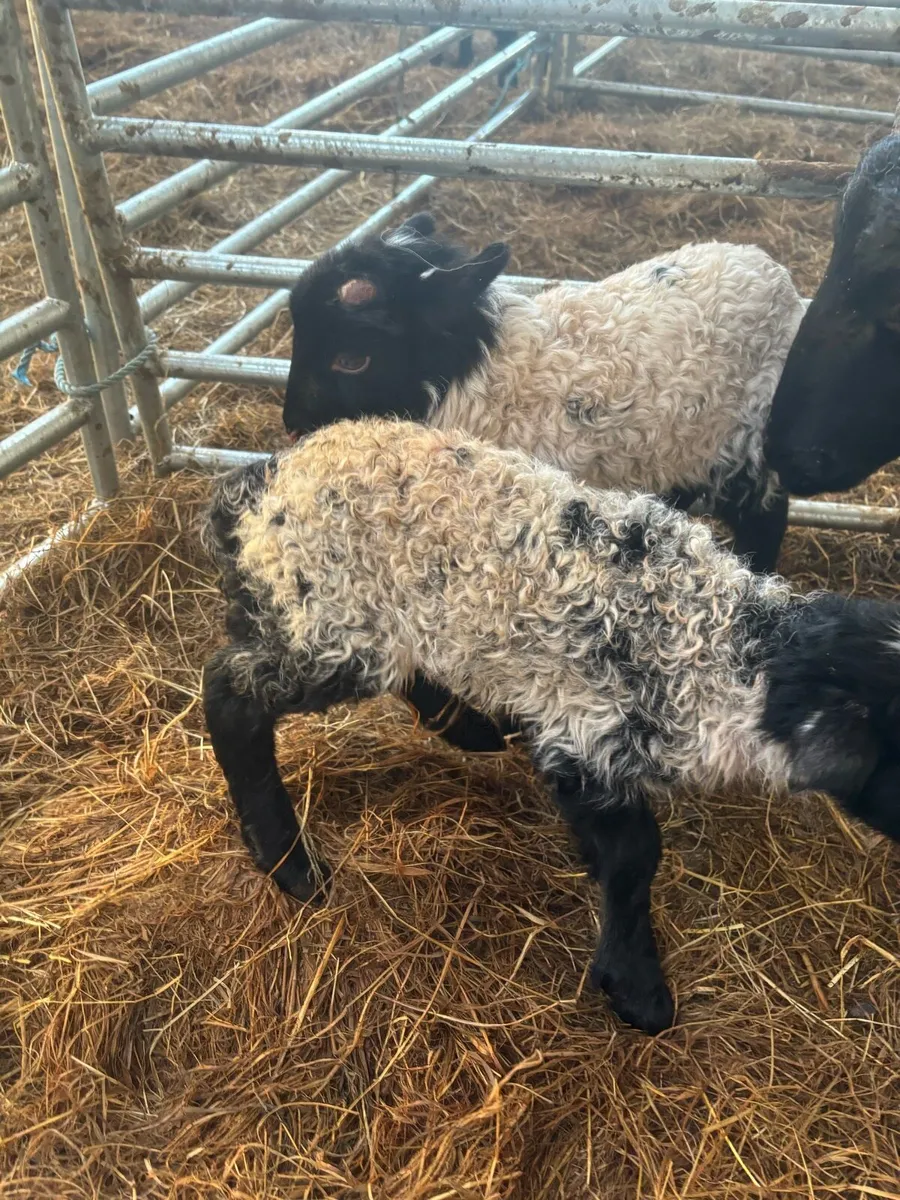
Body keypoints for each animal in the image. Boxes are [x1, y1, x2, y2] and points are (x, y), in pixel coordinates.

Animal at [202, 417, 900, 1036]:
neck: (719, 647)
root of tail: (260, 481)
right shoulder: (586, 725)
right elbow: (634, 856)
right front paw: (637, 988)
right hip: (328, 615)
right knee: (230, 692)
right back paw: (288, 862)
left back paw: (473, 731)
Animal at [283, 212, 806, 577]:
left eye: (352, 359)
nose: (290, 424)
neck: (479, 382)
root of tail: (769, 266)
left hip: (749, 441)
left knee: (765, 517)